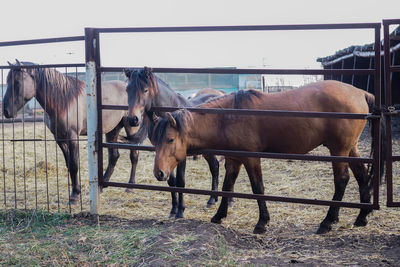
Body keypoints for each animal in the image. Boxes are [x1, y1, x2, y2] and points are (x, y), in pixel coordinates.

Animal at [2, 60, 146, 205]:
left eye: (17, 82)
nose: (6, 111)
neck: (63, 101)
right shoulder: (59, 138)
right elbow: (69, 164)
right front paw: (75, 191)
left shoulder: (72, 137)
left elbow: (74, 164)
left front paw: (74, 196)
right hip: (112, 130)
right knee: (114, 156)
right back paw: (101, 187)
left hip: (131, 128)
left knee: (134, 155)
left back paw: (130, 187)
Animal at [125, 67, 225, 220]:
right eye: (127, 89)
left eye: (145, 90)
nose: (133, 119)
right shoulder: (164, 153)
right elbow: (171, 181)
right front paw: (173, 210)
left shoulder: (181, 155)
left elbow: (180, 181)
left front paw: (180, 211)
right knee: (214, 166)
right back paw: (212, 200)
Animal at [150, 80, 378, 236]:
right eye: (154, 141)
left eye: (170, 139)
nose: (159, 173)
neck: (229, 116)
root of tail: (361, 93)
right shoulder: (234, 159)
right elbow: (227, 187)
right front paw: (219, 216)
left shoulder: (251, 158)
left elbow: (257, 188)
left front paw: (261, 223)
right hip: (350, 149)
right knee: (361, 176)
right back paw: (361, 217)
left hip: (339, 150)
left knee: (342, 180)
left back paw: (327, 222)